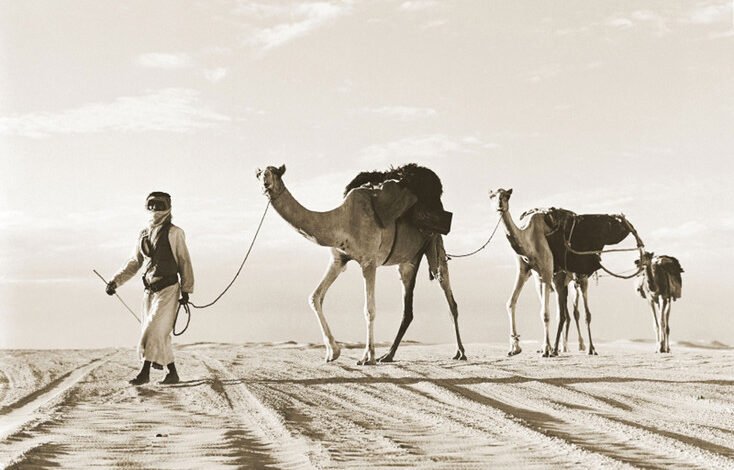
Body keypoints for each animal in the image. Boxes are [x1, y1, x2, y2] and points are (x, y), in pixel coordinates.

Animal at [258, 163, 466, 366]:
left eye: (273, 173)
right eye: (259, 174)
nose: (265, 185)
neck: (342, 221)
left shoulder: (369, 261)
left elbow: (369, 309)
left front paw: (368, 357)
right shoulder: (338, 260)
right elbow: (315, 297)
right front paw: (333, 352)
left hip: (435, 242)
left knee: (448, 294)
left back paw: (460, 353)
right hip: (409, 260)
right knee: (408, 309)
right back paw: (388, 355)